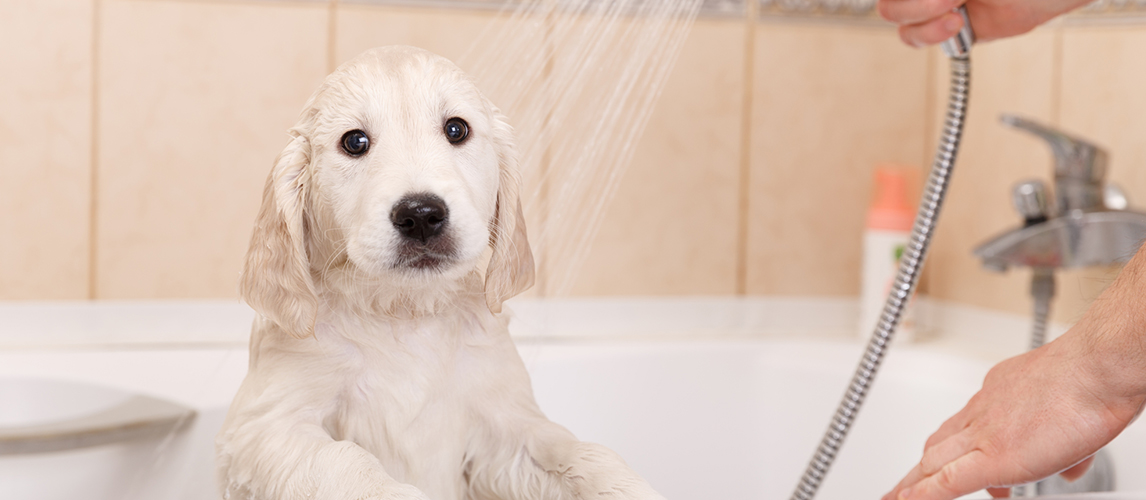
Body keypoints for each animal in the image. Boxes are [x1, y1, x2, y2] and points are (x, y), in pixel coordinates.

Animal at [216, 45, 664, 499]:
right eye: (355, 142)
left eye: (456, 129)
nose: (420, 215)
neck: (403, 312)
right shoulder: (267, 427)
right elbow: (346, 460)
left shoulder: (505, 426)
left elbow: (577, 454)